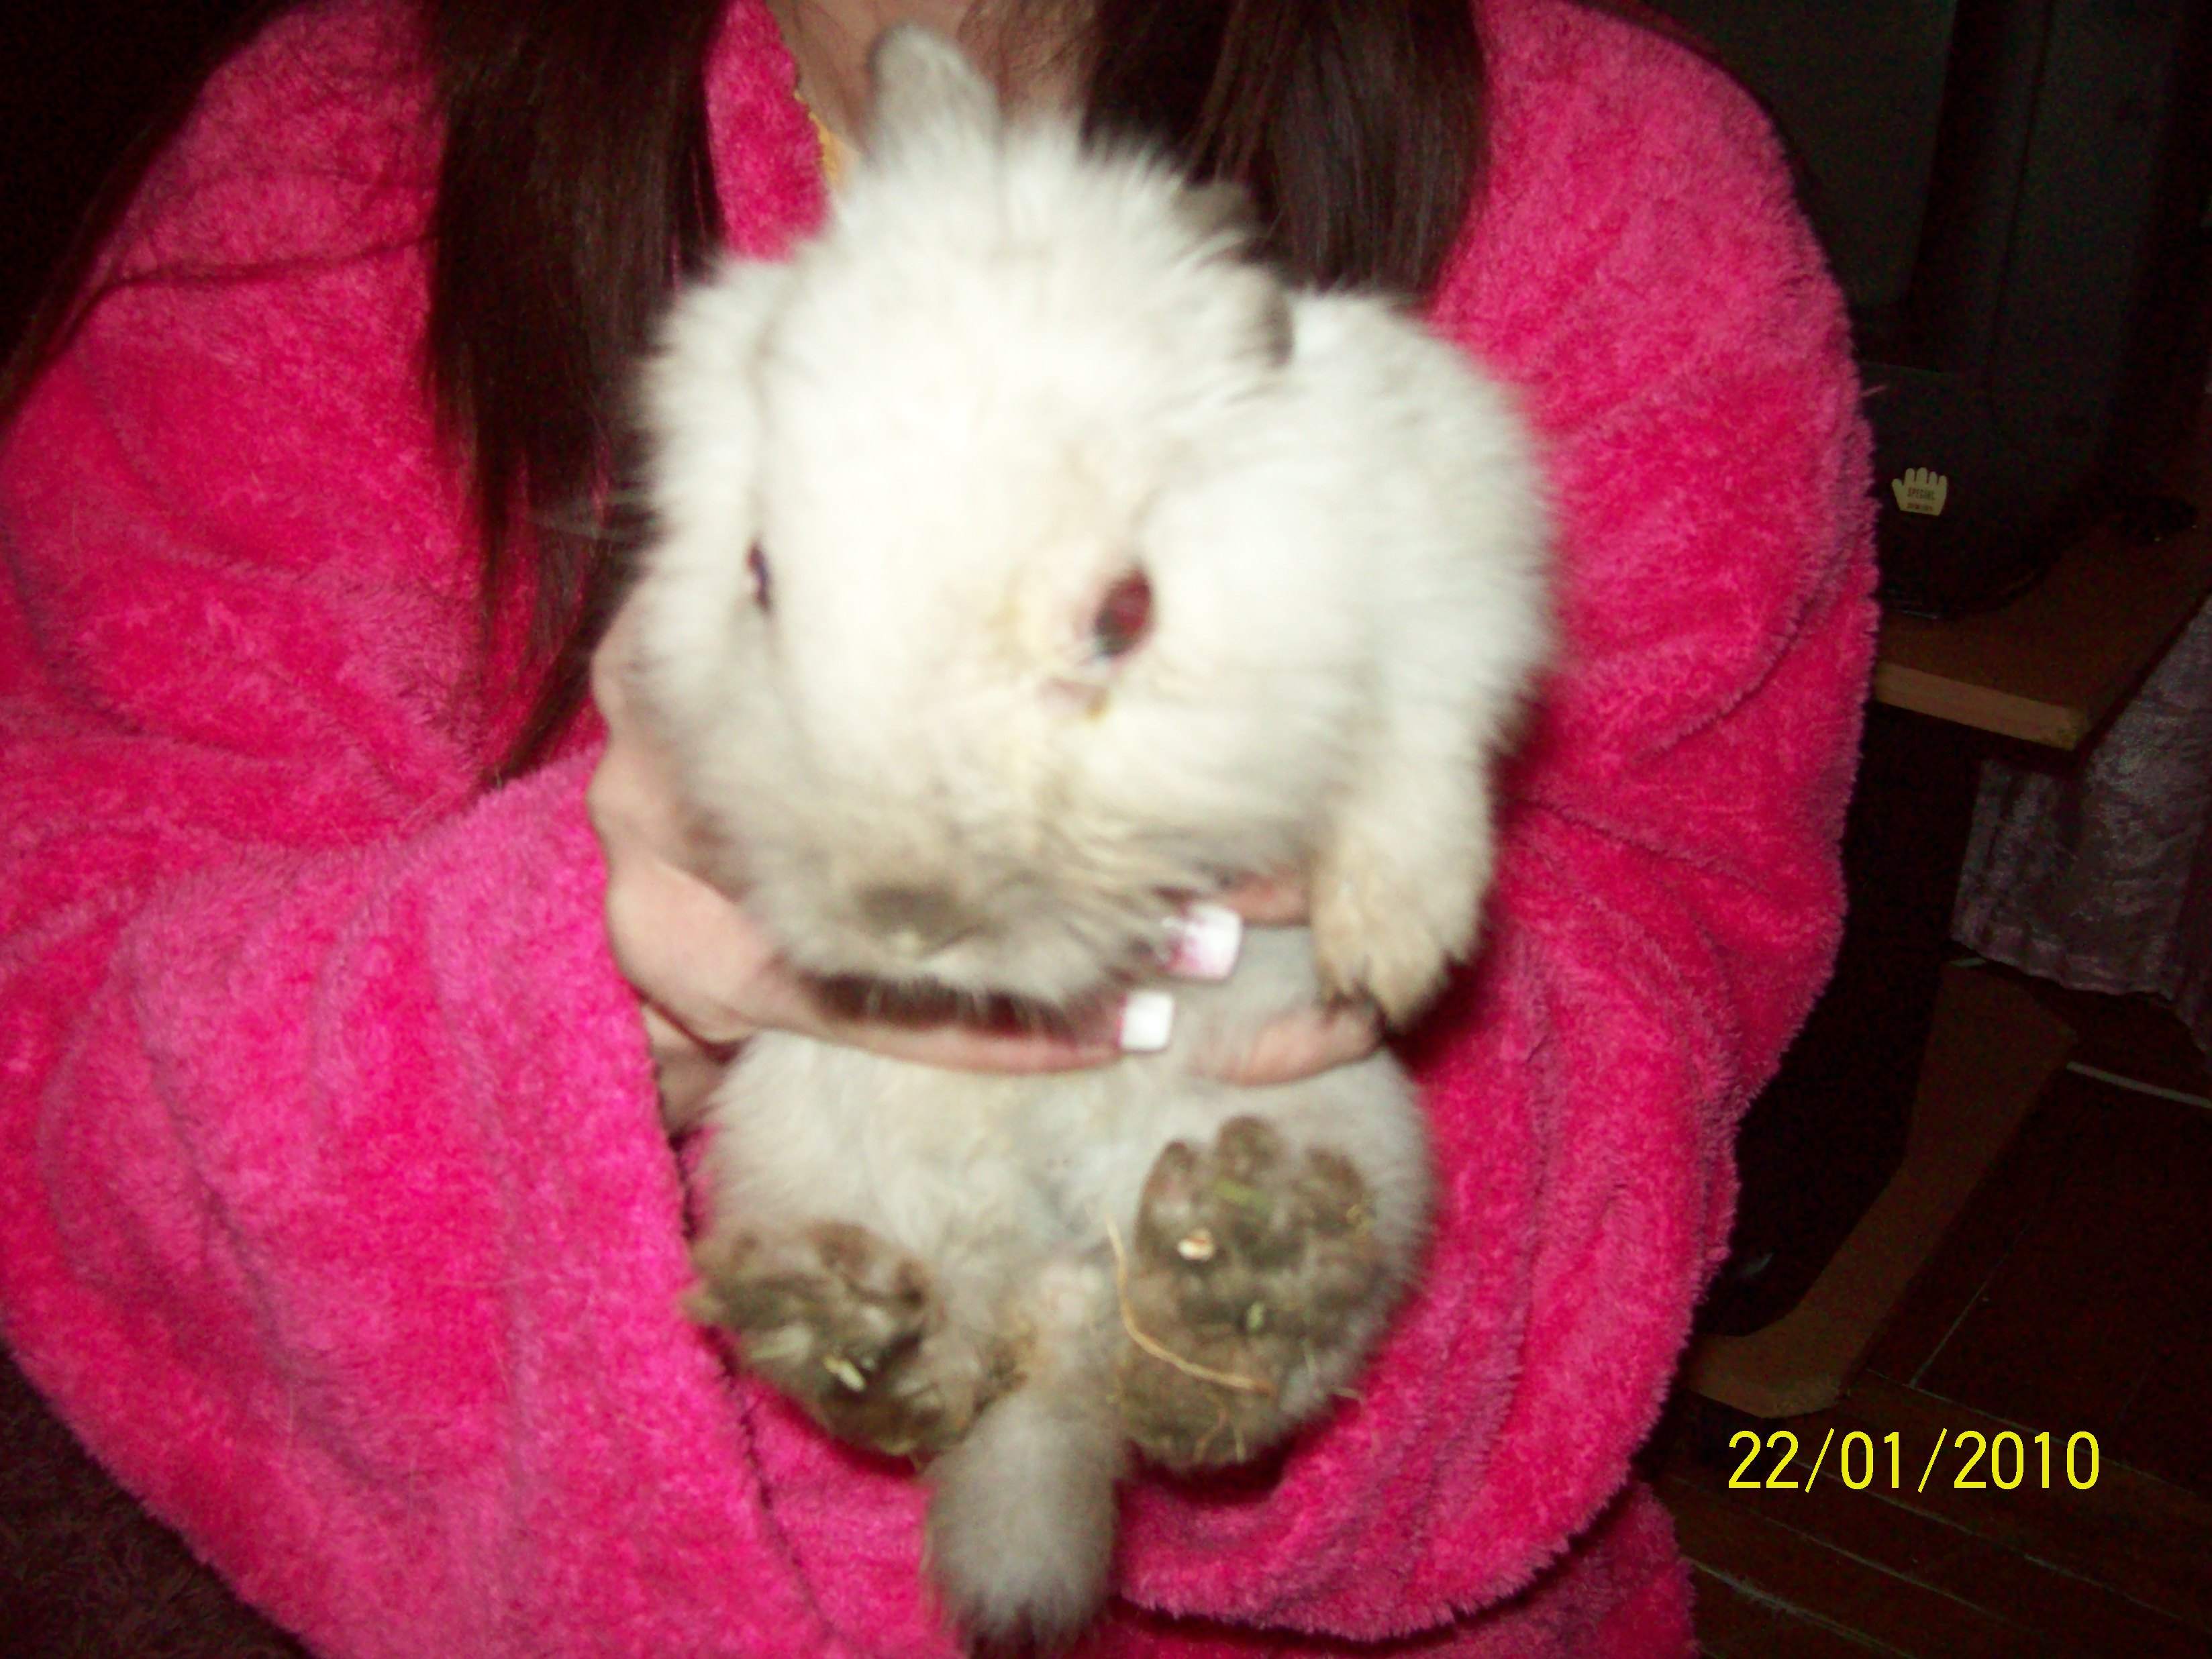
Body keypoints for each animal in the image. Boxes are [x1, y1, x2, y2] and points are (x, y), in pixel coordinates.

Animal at [622, 24, 1551, 1650]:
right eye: (758, 577)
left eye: (1126, 613)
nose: (904, 910)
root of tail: (1057, 1272)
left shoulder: (1448, 580)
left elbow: (1414, 750)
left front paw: (1397, 940)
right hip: (807, 1151)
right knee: (935, 1385)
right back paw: (840, 1327)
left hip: (1348, 1146)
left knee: (1209, 1395)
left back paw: (1238, 1277)